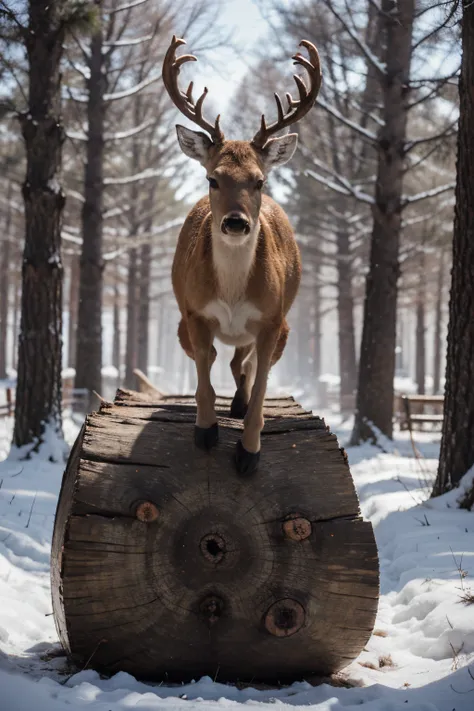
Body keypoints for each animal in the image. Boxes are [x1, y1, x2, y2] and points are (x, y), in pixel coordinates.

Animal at [161, 36, 320, 476]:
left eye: (260, 180)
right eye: (212, 178)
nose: (235, 222)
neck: (232, 294)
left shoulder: (272, 319)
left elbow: (262, 384)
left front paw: (249, 451)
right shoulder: (193, 313)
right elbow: (203, 374)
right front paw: (206, 431)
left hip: (285, 328)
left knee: (242, 366)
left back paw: (239, 402)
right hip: (180, 326)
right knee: (224, 359)